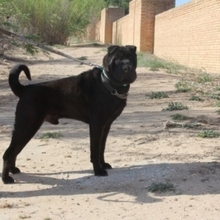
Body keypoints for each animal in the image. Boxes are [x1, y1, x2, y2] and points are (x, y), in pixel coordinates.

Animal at [1, 44, 137, 184]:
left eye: (131, 57)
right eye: (117, 59)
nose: (127, 67)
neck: (108, 83)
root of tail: (24, 89)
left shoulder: (106, 125)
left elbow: (101, 148)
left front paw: (103, 164)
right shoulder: (97, 125)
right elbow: (95, 149)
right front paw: (98, 170)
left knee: (14, 150)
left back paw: (13, 170)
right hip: (27, 126)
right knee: (9, 153)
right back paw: (6, 178)